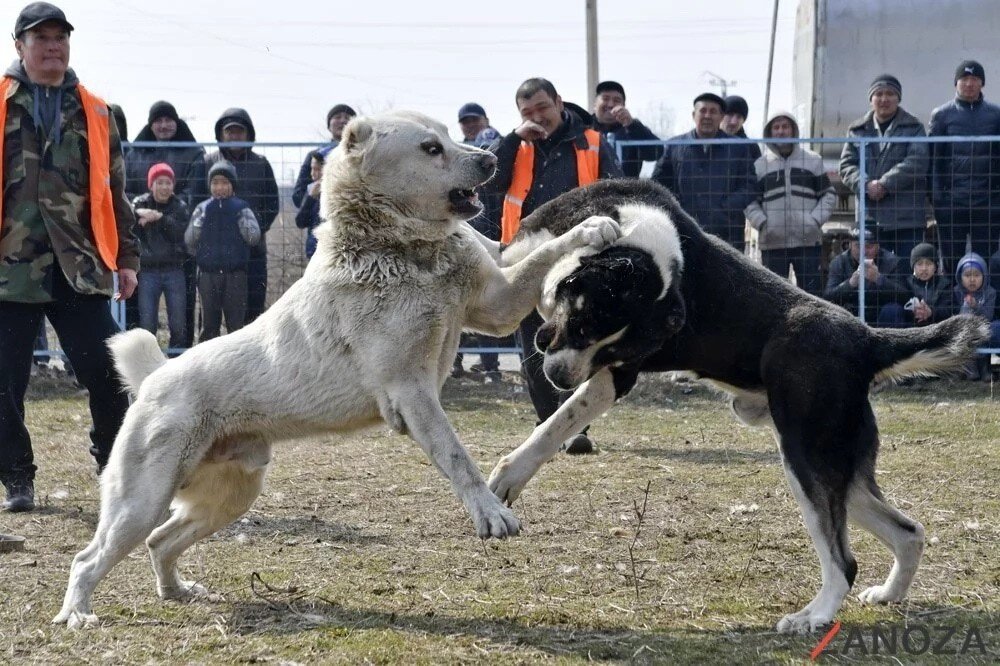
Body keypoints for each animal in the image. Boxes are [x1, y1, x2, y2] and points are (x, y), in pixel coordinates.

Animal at [54, 111, 620, 624]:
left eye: (449, 135)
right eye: (431, 148)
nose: (489, 159)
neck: (400, 249)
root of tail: (154, 377)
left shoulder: (496, 305)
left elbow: (541, 255)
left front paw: (592, 226)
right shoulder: (411, 391)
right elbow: (458, 457)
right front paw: (490, 513)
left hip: (229, 497)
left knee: (160, 540)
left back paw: (176, 592)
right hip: (142, 499)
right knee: (89, 557)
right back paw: (78, 613)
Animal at [488, 178, 988, 632]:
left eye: (604, 343)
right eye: (581, 324)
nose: (560, 378)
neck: (637, 234)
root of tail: (866, 338)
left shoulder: (617, 374)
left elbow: (555, 425)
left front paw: (509, 476)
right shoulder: (520, 259)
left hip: (808, 460)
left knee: (843, 561)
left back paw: (814, 616)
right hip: (840, 469)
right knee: (909, 533)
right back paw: (889, 593)